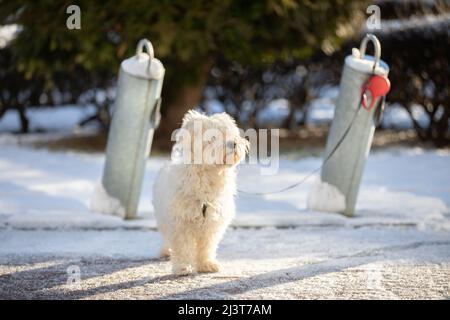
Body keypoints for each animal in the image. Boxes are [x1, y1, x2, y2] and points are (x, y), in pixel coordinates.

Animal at [153, 110, 248, 276]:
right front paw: (183, 267)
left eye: (229, 132)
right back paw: (166, 252)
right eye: (213, 137)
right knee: (166, 237)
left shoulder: (212, 222)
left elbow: (206, 247)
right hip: (163, 218)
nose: (233, 143)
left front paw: (206, 264)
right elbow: (182, 246)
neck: (207, 176)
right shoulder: (180, 222)